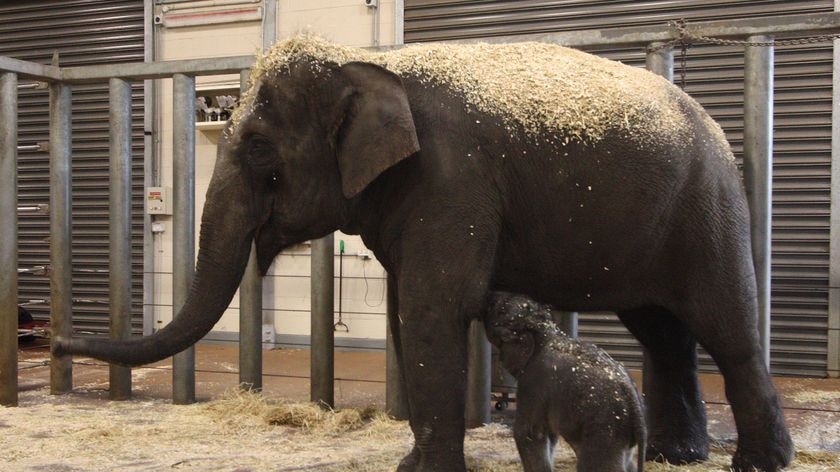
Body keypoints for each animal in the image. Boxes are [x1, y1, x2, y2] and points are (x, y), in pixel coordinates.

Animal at [486, 292, 644, 472]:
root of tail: (632, 396)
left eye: (499, 309)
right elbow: (549, 435)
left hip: (605, 426)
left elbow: (529, 433)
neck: (546, 332)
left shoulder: (533, 383)